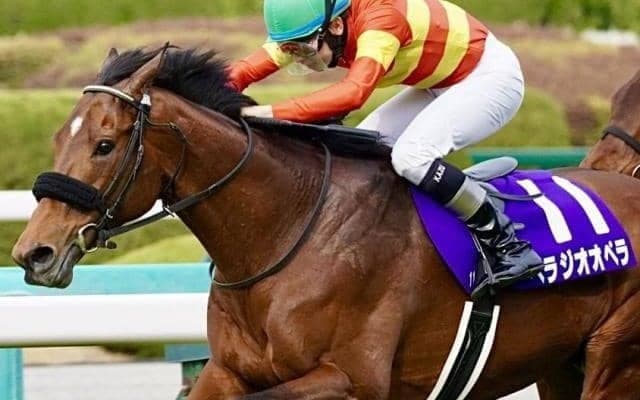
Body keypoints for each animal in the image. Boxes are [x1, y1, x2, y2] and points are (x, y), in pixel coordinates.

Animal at [11, 46, 640, 400]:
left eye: (104, 144)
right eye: (57, 136)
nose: (33, 253)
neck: (287, 232)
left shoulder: (349, 378)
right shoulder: (226, 372)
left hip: (614, 362)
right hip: (558, 367)